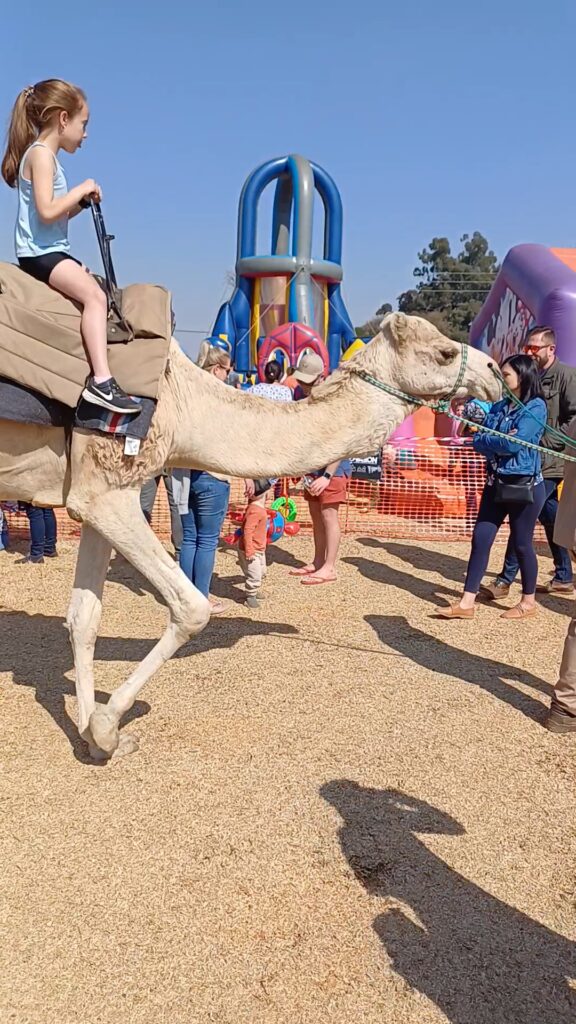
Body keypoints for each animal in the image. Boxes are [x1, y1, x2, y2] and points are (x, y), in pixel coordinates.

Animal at [0, 314, 500, 759]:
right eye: (444, 352)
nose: (495, 373)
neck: (187, 406)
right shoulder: (109, 491)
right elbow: (192, 608)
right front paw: (107, 727)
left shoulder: (96, 493)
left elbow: (84, 618)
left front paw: (93, 737)